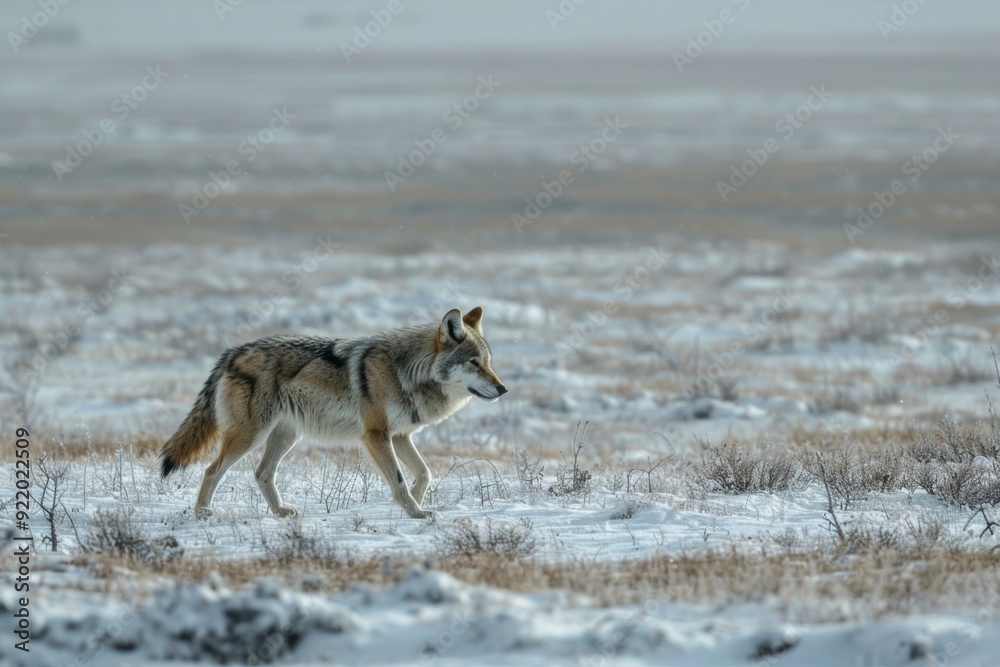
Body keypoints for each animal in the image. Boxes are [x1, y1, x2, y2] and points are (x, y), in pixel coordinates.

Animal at [159, 307, 507, 519]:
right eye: (474, 363)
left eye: (489, 363)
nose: (503, 389)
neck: (406, 372)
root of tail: (232, 352)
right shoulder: (376, 435)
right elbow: (399, 478)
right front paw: (415, 512)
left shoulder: (401, 435)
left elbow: (423, 473)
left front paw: (415, 505)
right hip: (250, 435)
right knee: (211, 471)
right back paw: (203, 514)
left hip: (286, 436)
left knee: (261, 473)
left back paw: (281, 512)